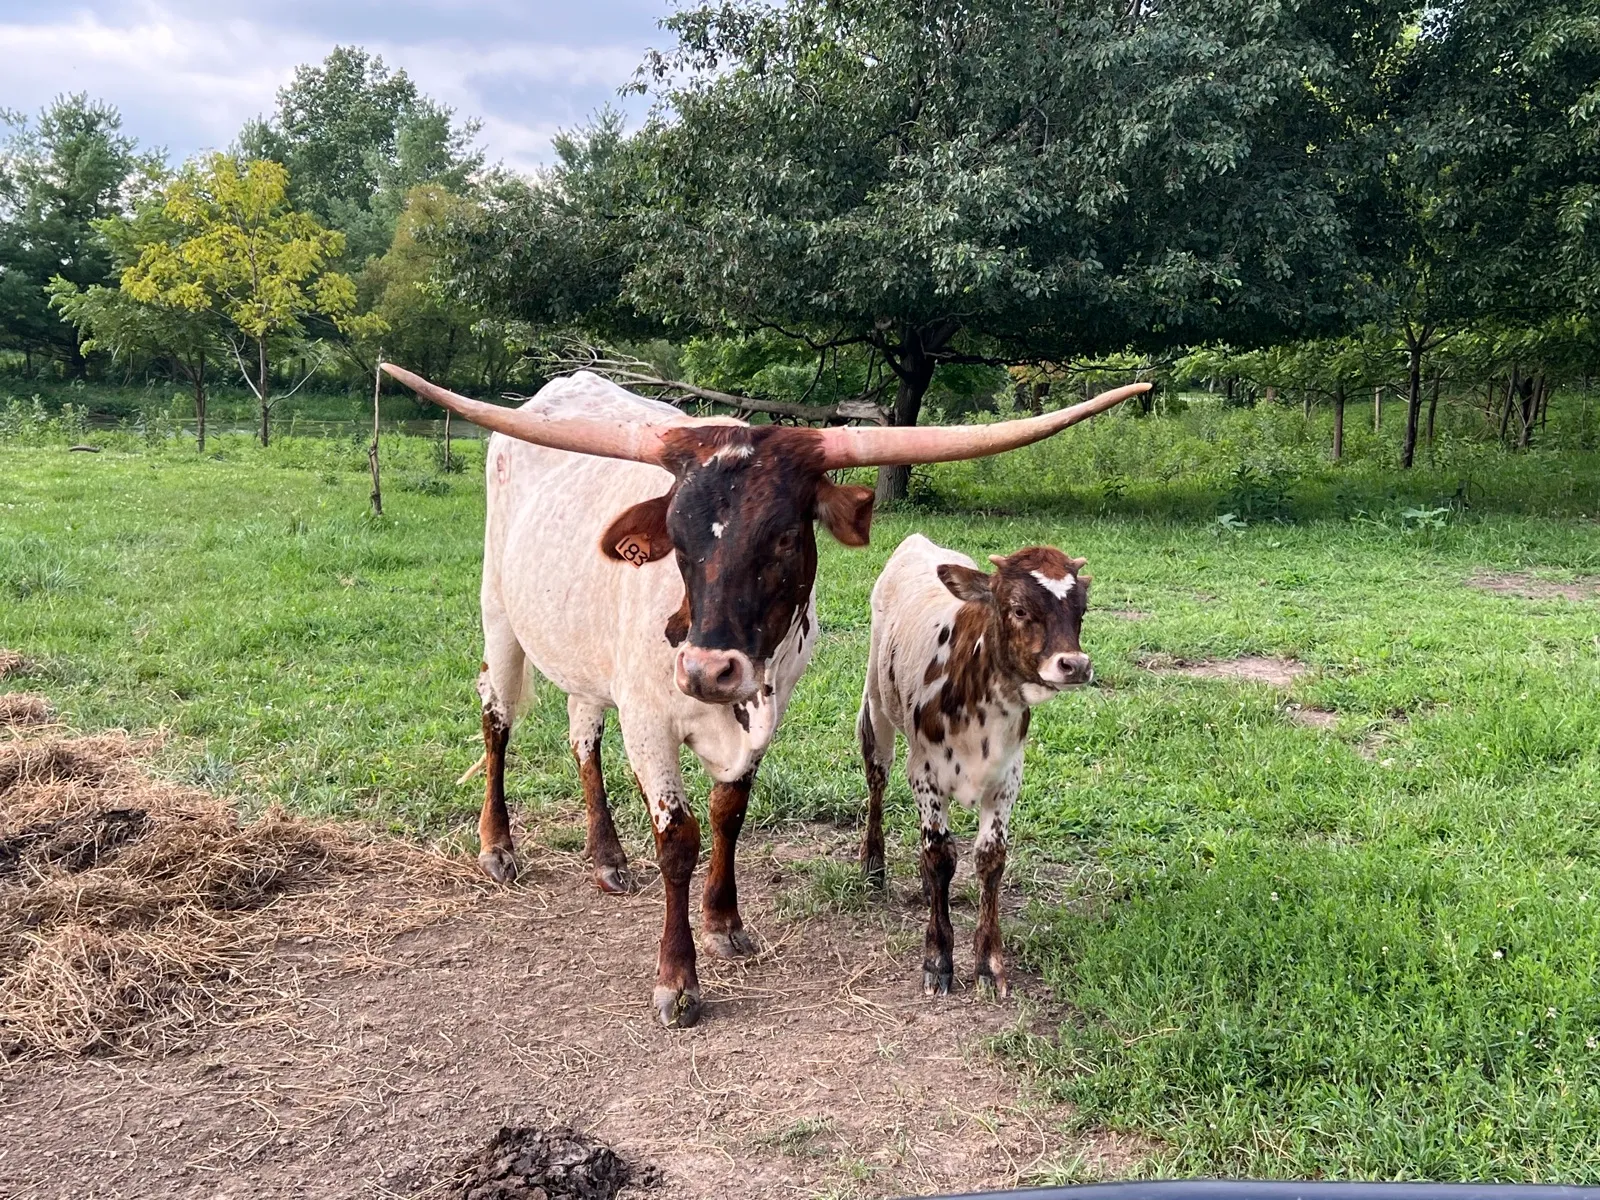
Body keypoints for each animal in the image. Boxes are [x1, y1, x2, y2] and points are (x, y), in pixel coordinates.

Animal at [857, 534, 1095, 1000]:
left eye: (1081, 609)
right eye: (1018, 608)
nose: (1074, 665)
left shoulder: (1007, 779)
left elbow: (990, 857)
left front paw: (988, 962)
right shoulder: (925, 774)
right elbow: (939, 855)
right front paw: (937, 959)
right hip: (876, 701)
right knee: (877, 777)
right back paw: (873, 863)